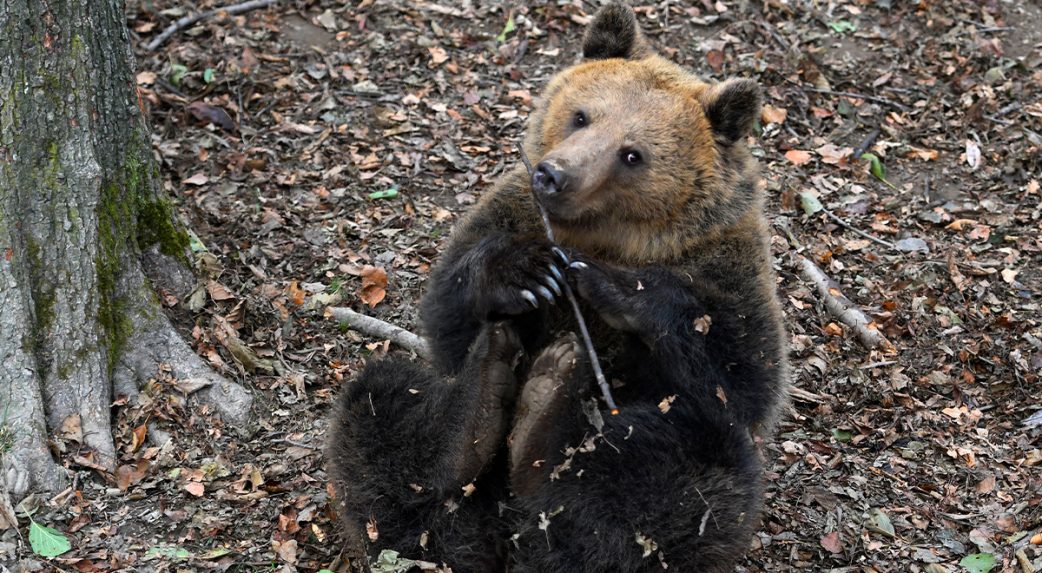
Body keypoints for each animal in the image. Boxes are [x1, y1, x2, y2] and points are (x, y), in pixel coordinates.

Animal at [325, 2, 787, 570]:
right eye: (582, 114)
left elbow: (743, 374)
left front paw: (612, 286)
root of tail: (511, 533)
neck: (608, 234)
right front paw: (524, 273)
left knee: (690, 472)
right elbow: (448, 314)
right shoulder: (508, 212)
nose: (553, 174)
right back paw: (477, 414)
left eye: (632, 154)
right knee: (380, 409)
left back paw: (542, 429)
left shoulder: (729, 263)